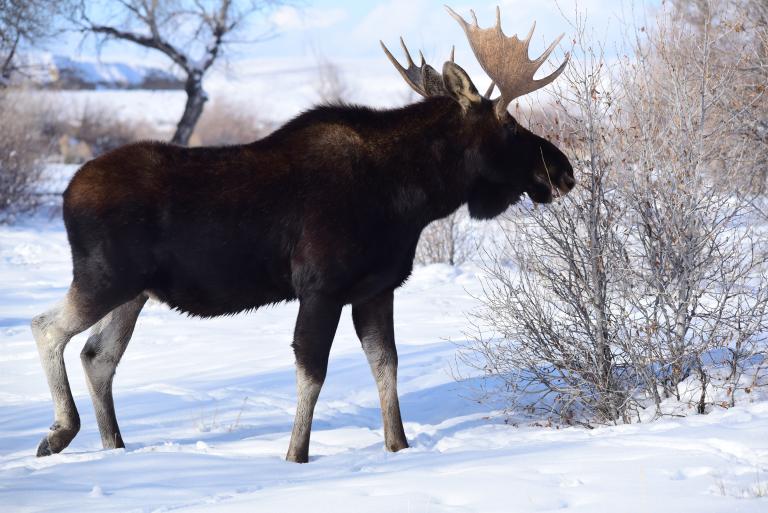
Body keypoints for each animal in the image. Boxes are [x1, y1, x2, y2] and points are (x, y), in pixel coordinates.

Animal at [31, 6, 574, 463]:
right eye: (510, 127)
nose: (563, 171)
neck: (412, 197)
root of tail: (68, 192)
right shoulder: (320, 288)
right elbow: (313, 372)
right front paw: (297, 455)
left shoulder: (376, 288)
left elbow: (386, 365)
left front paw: (398, 446)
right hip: (104, 277)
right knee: (47, 326)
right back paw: (59, 432)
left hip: (135, 292)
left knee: (98, 356)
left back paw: (114, 447)